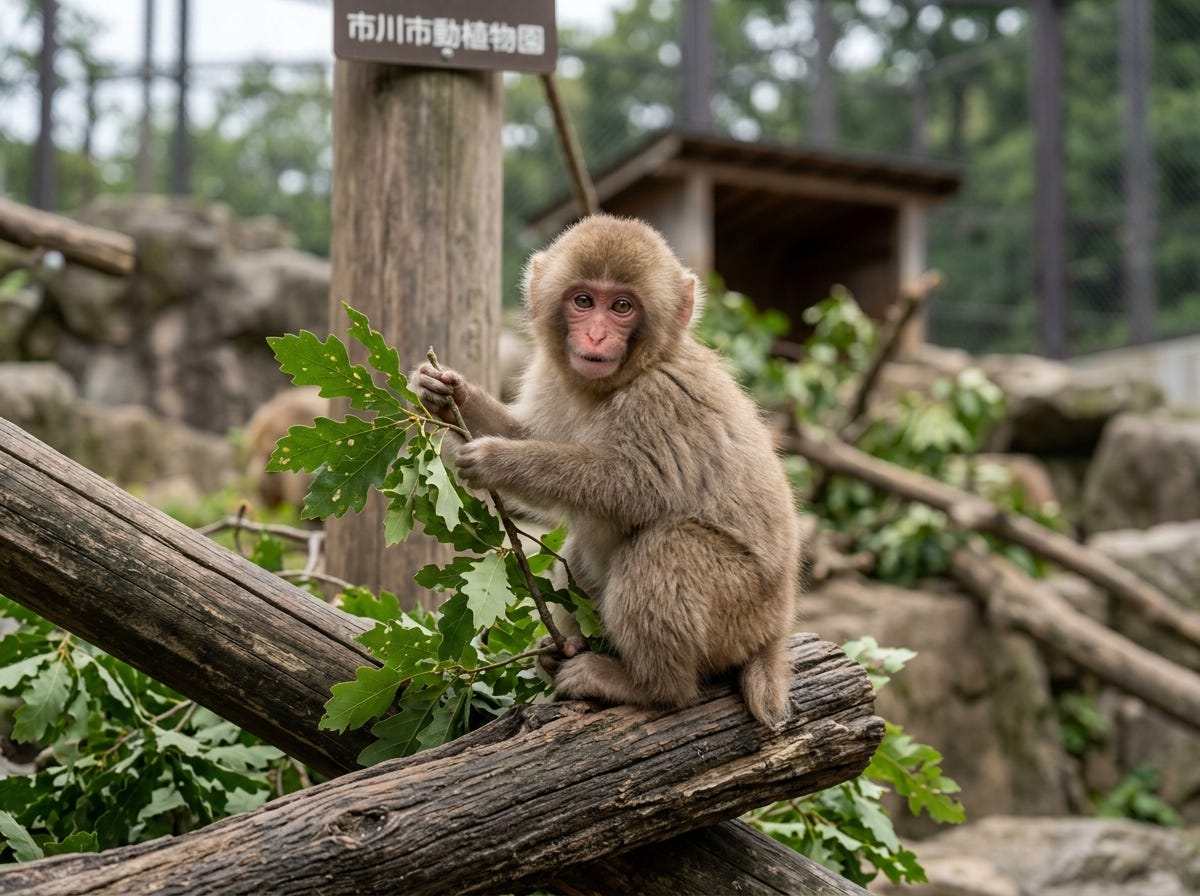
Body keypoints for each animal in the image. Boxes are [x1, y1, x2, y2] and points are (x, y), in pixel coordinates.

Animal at [413, 214, 802, 726]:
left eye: (621, 306)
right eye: (583, 301)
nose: (596, 337)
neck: (619, 380)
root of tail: (776, 628)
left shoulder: (662, 396)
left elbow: (639, 486)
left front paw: (500, 460)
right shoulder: (551, 377)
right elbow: (528, 433)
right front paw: (445, 393)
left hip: (741, 609)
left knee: (667, 544)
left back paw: (651, 686)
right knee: (579, 553)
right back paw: (565, 649)